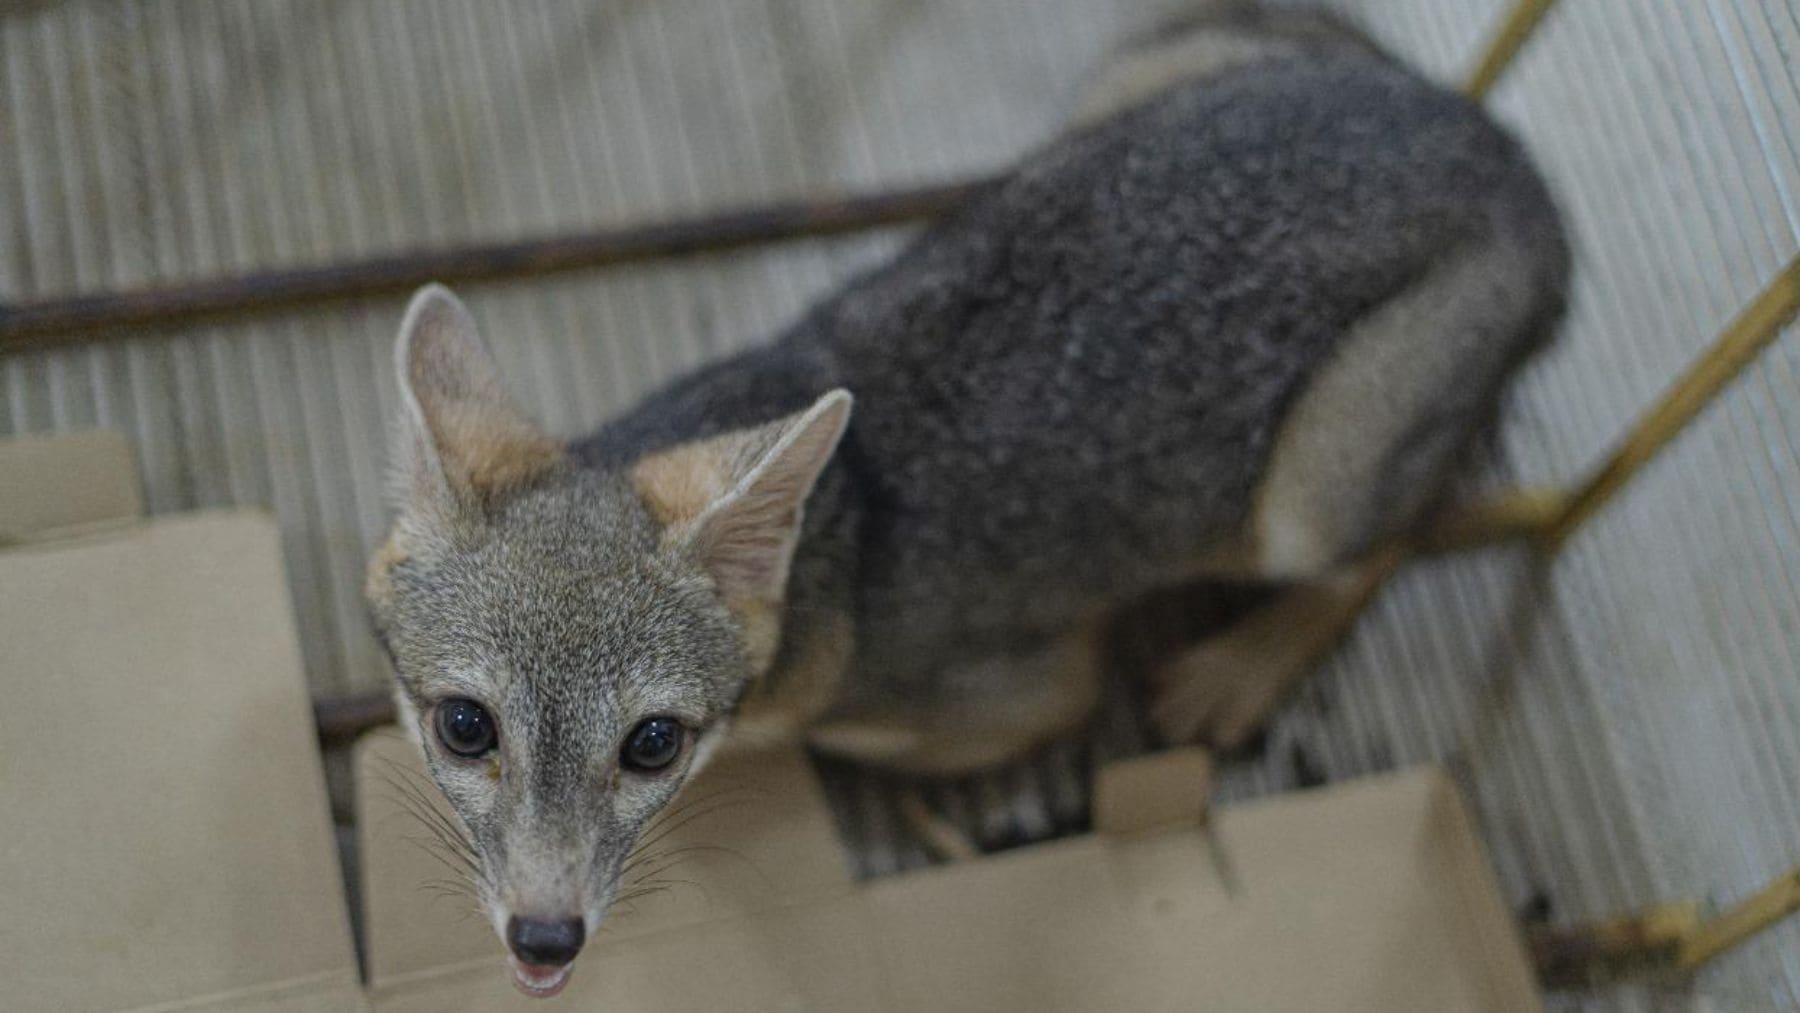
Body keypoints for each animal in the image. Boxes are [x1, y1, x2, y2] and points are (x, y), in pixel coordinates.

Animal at [365, 5, 1568, 998]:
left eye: (652, 744)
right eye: (465, 726)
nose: (545, 938)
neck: (834, 555)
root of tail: (1511, 160)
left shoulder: (1031, 689)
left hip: (1305, 497)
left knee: (1398, 531)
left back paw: (1242, 665)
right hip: (1127, 78)